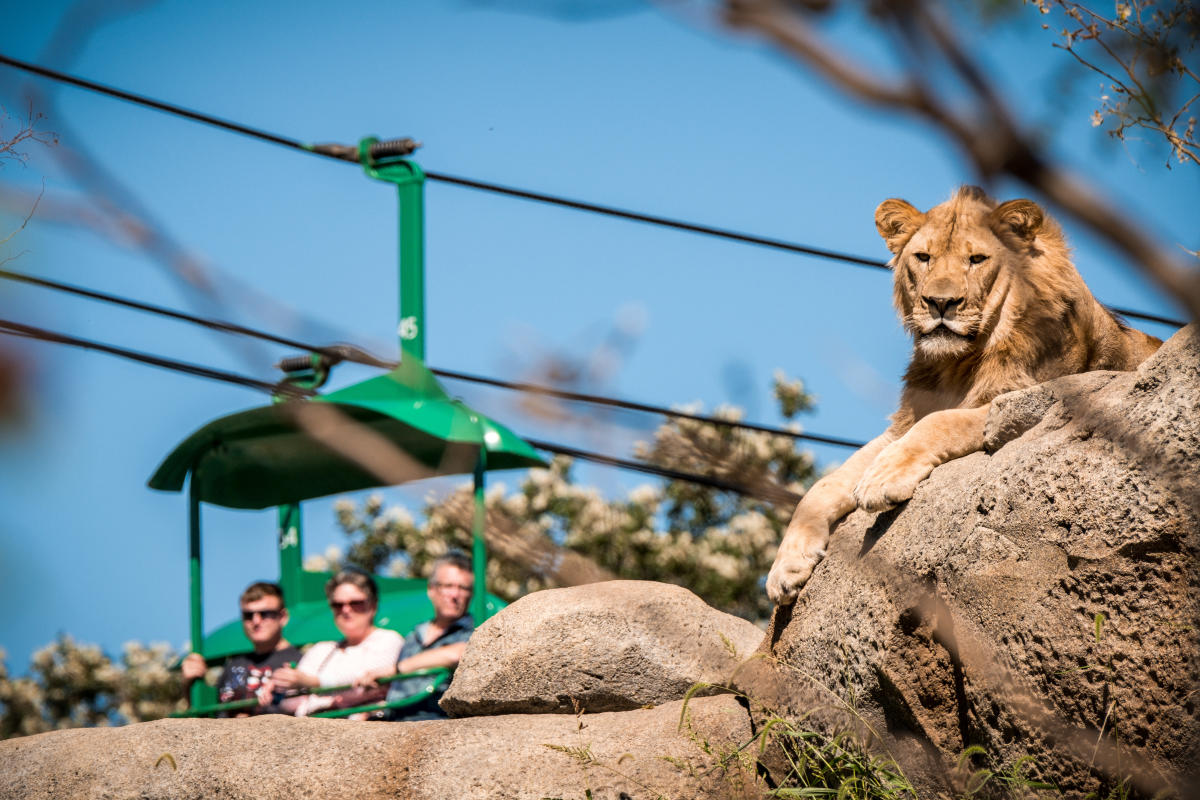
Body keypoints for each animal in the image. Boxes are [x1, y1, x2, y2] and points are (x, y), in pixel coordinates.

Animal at [768, 185, 1161, 599]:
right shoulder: (900, 424)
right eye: (924, 257)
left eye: (976, 259)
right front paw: (785, 567)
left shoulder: (1027, 400)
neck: (956, 364)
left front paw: (882, 479)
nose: (940, 303)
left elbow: (941, 423)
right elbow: (823, 485)